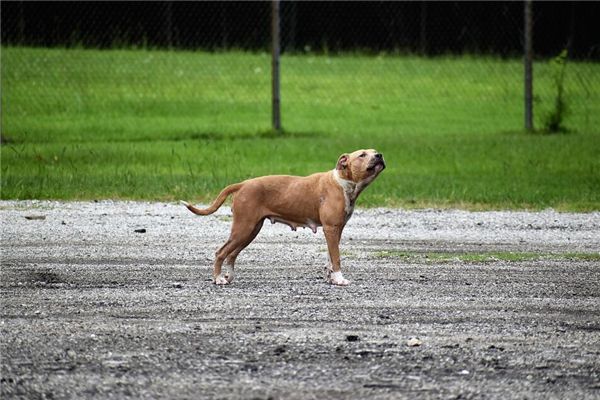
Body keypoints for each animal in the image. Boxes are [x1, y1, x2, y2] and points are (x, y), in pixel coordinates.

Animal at [182, 149, 384, 284]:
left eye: (374, 152)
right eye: (362, 155)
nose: (380, 155)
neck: (343, 182)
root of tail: (243, 184)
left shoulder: (336, 230)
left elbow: (330, 256)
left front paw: (332, 277)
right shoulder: (331, 228)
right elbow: (337, 257)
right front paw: (340, 279)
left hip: (250, 230)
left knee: (231, 255)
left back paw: (228, 276)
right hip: (243, 228)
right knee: (221, 252)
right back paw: (218, 279)